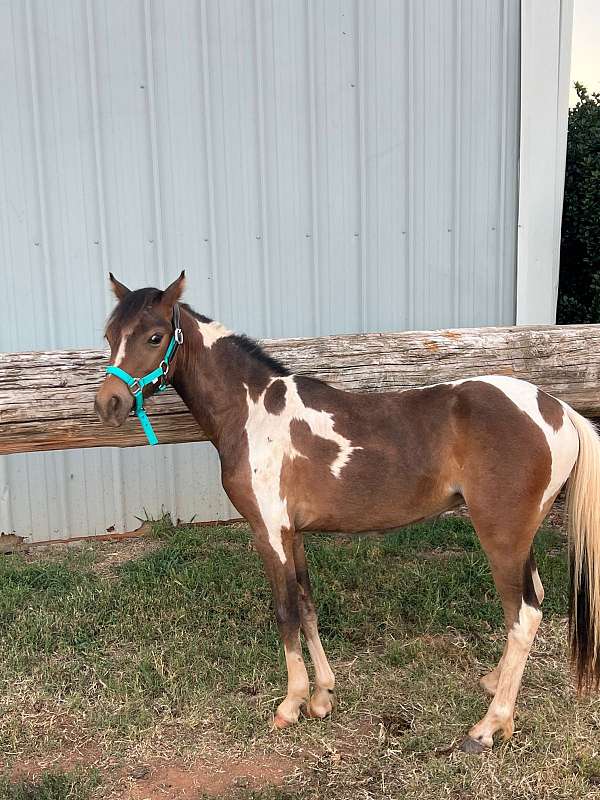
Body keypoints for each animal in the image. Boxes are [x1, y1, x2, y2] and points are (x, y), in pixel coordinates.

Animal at [94, 274, 600, 752]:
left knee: (523, 616)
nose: (108, 404)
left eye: (155, 336)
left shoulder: (268, 531)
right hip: (520, 536)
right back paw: (496, 687)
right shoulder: (292, 532)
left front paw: (291, 704)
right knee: (533, 602)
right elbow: (307, 605)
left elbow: (284, 611)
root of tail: (556, 408)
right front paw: (322, 696)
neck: (253, 412)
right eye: (110, 334)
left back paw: (489, 727)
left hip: (501, 535)